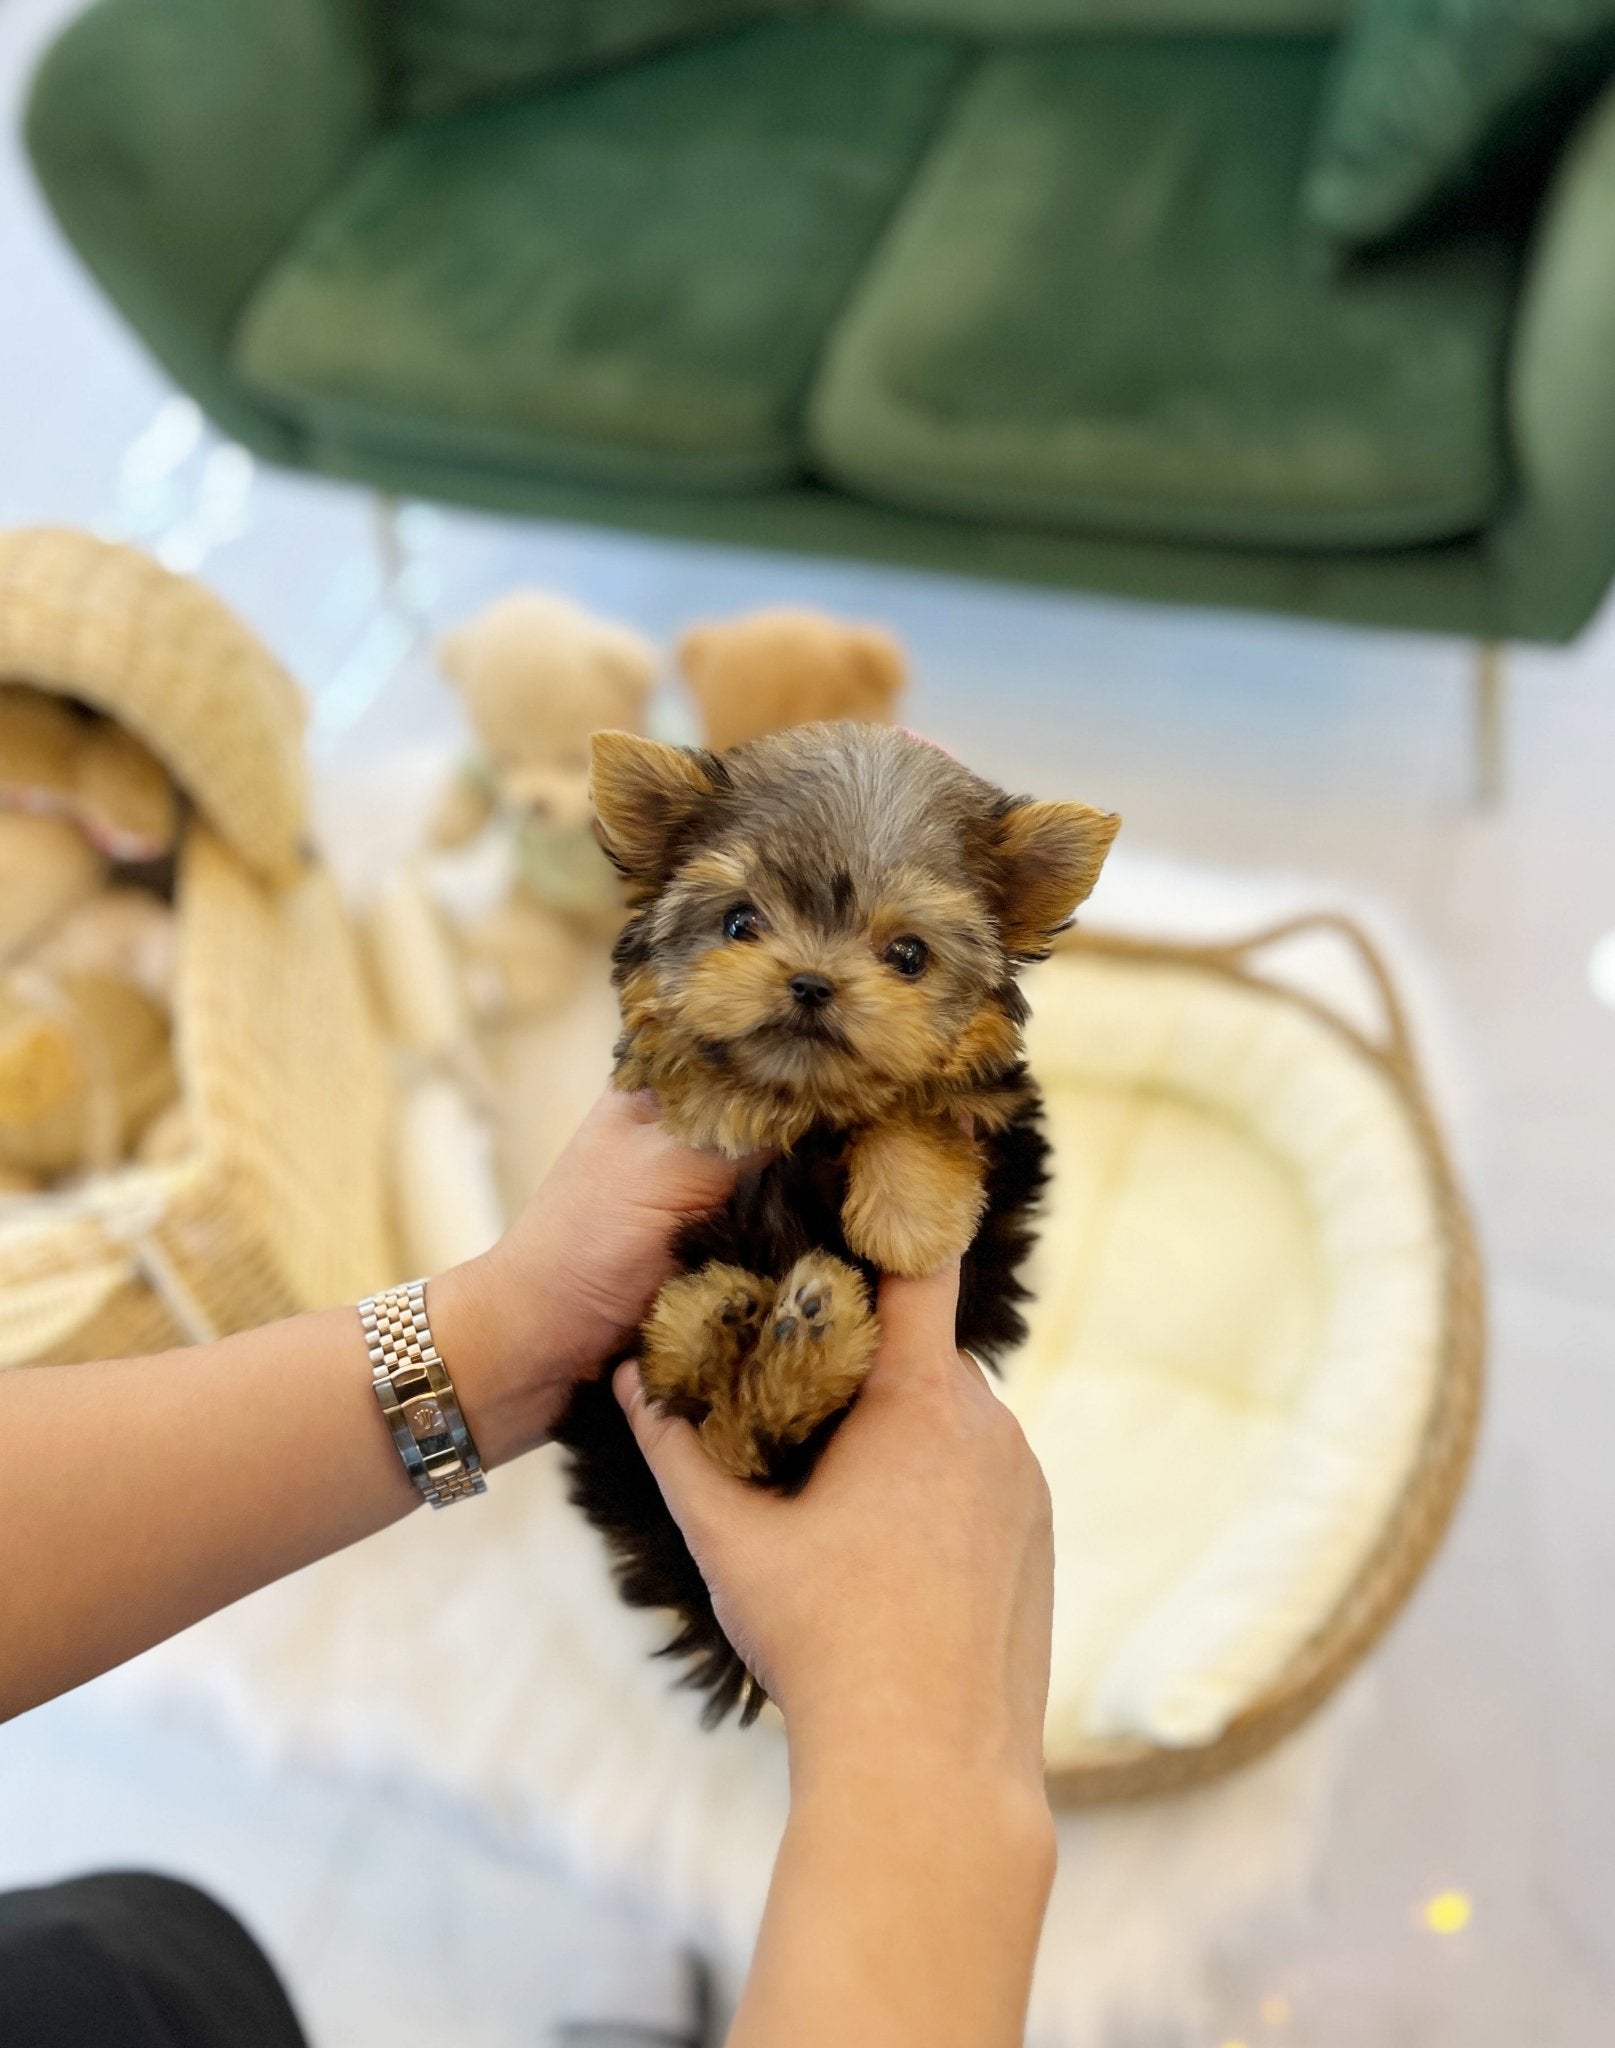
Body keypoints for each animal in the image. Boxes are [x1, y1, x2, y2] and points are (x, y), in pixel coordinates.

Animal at [548, 729, 1113, 1720]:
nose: (810, 984)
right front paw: (725, 1090)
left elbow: (917, 1109)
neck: (811, 1103)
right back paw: (722, 1321)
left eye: (908, 955)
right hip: (614, 1414)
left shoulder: (1000, 1122)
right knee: (712, 1423)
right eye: (740, 924)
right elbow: (680, 1058)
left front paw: (910, 1214)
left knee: (745, 1445)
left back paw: (797, 1330)